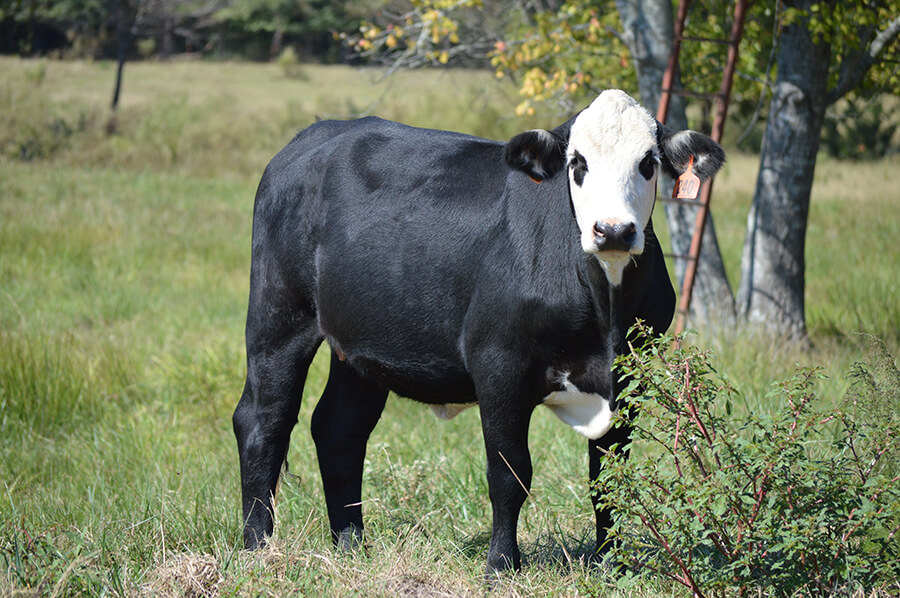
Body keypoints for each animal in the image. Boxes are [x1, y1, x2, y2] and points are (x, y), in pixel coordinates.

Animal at [232, 89, 725, 574]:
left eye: (648, 163)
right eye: (577, 163)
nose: (614, 230)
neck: (605, 312)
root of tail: (316, 133)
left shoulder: (629, 374)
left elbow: (606, 476)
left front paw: (613, 563)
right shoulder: (499, 362)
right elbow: (510, 472)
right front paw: (501, 563)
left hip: (359, 347)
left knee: (339, 430)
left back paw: (352, 547)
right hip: (279, 317)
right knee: (262, 420)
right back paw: (259, 549)